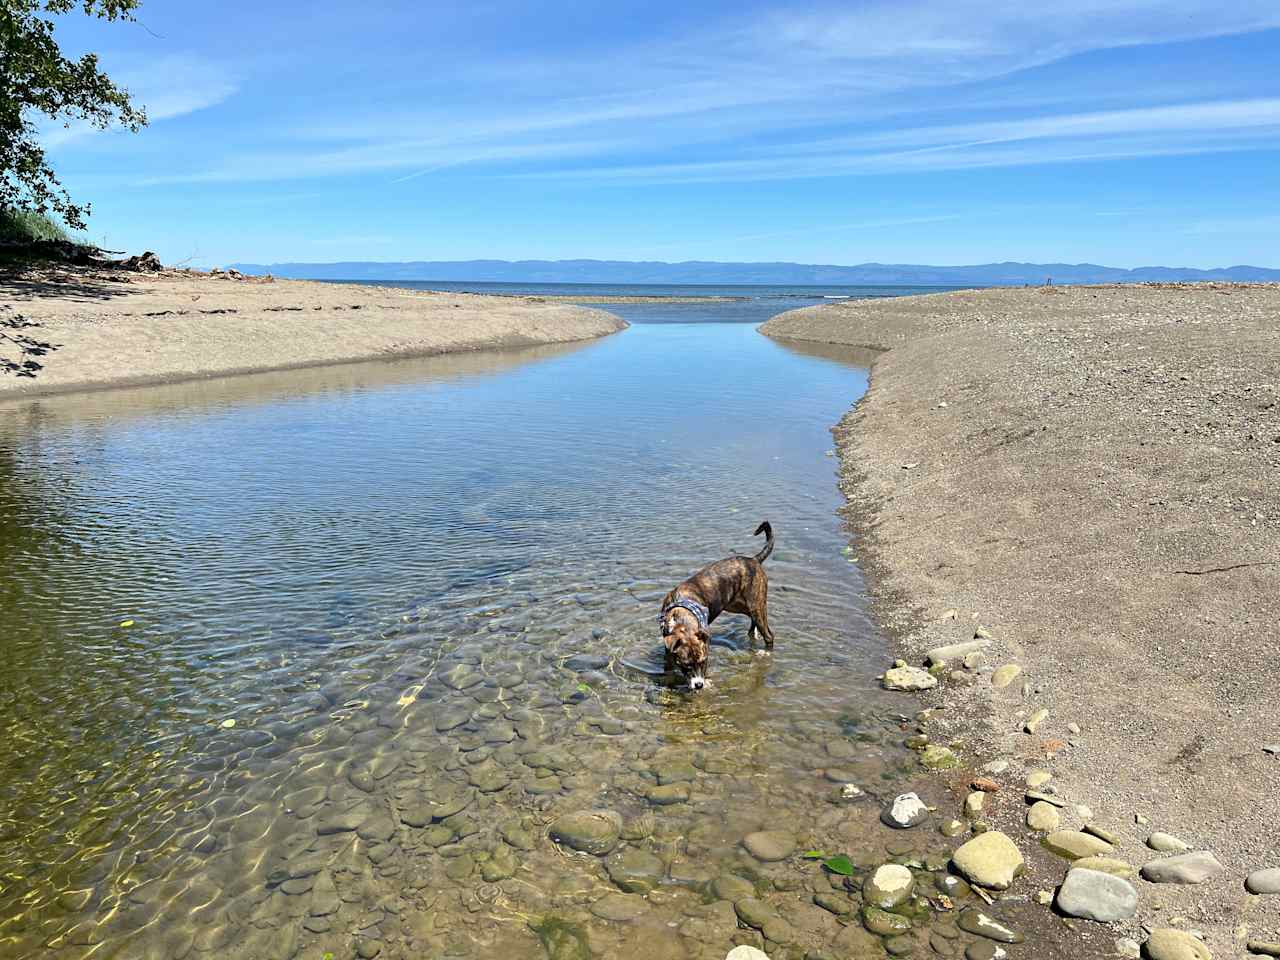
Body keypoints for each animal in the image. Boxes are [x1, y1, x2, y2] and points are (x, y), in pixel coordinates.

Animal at [655, 522, 773, 696]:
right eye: (686, 665)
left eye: (704, 662)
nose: (699, 685)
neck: (682, 617)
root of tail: (754, 560)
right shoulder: (668, 649)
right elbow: (668, 668)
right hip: (738, 605)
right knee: (753, 619)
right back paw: (753, 634)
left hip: (756, 603)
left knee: (769, 634)